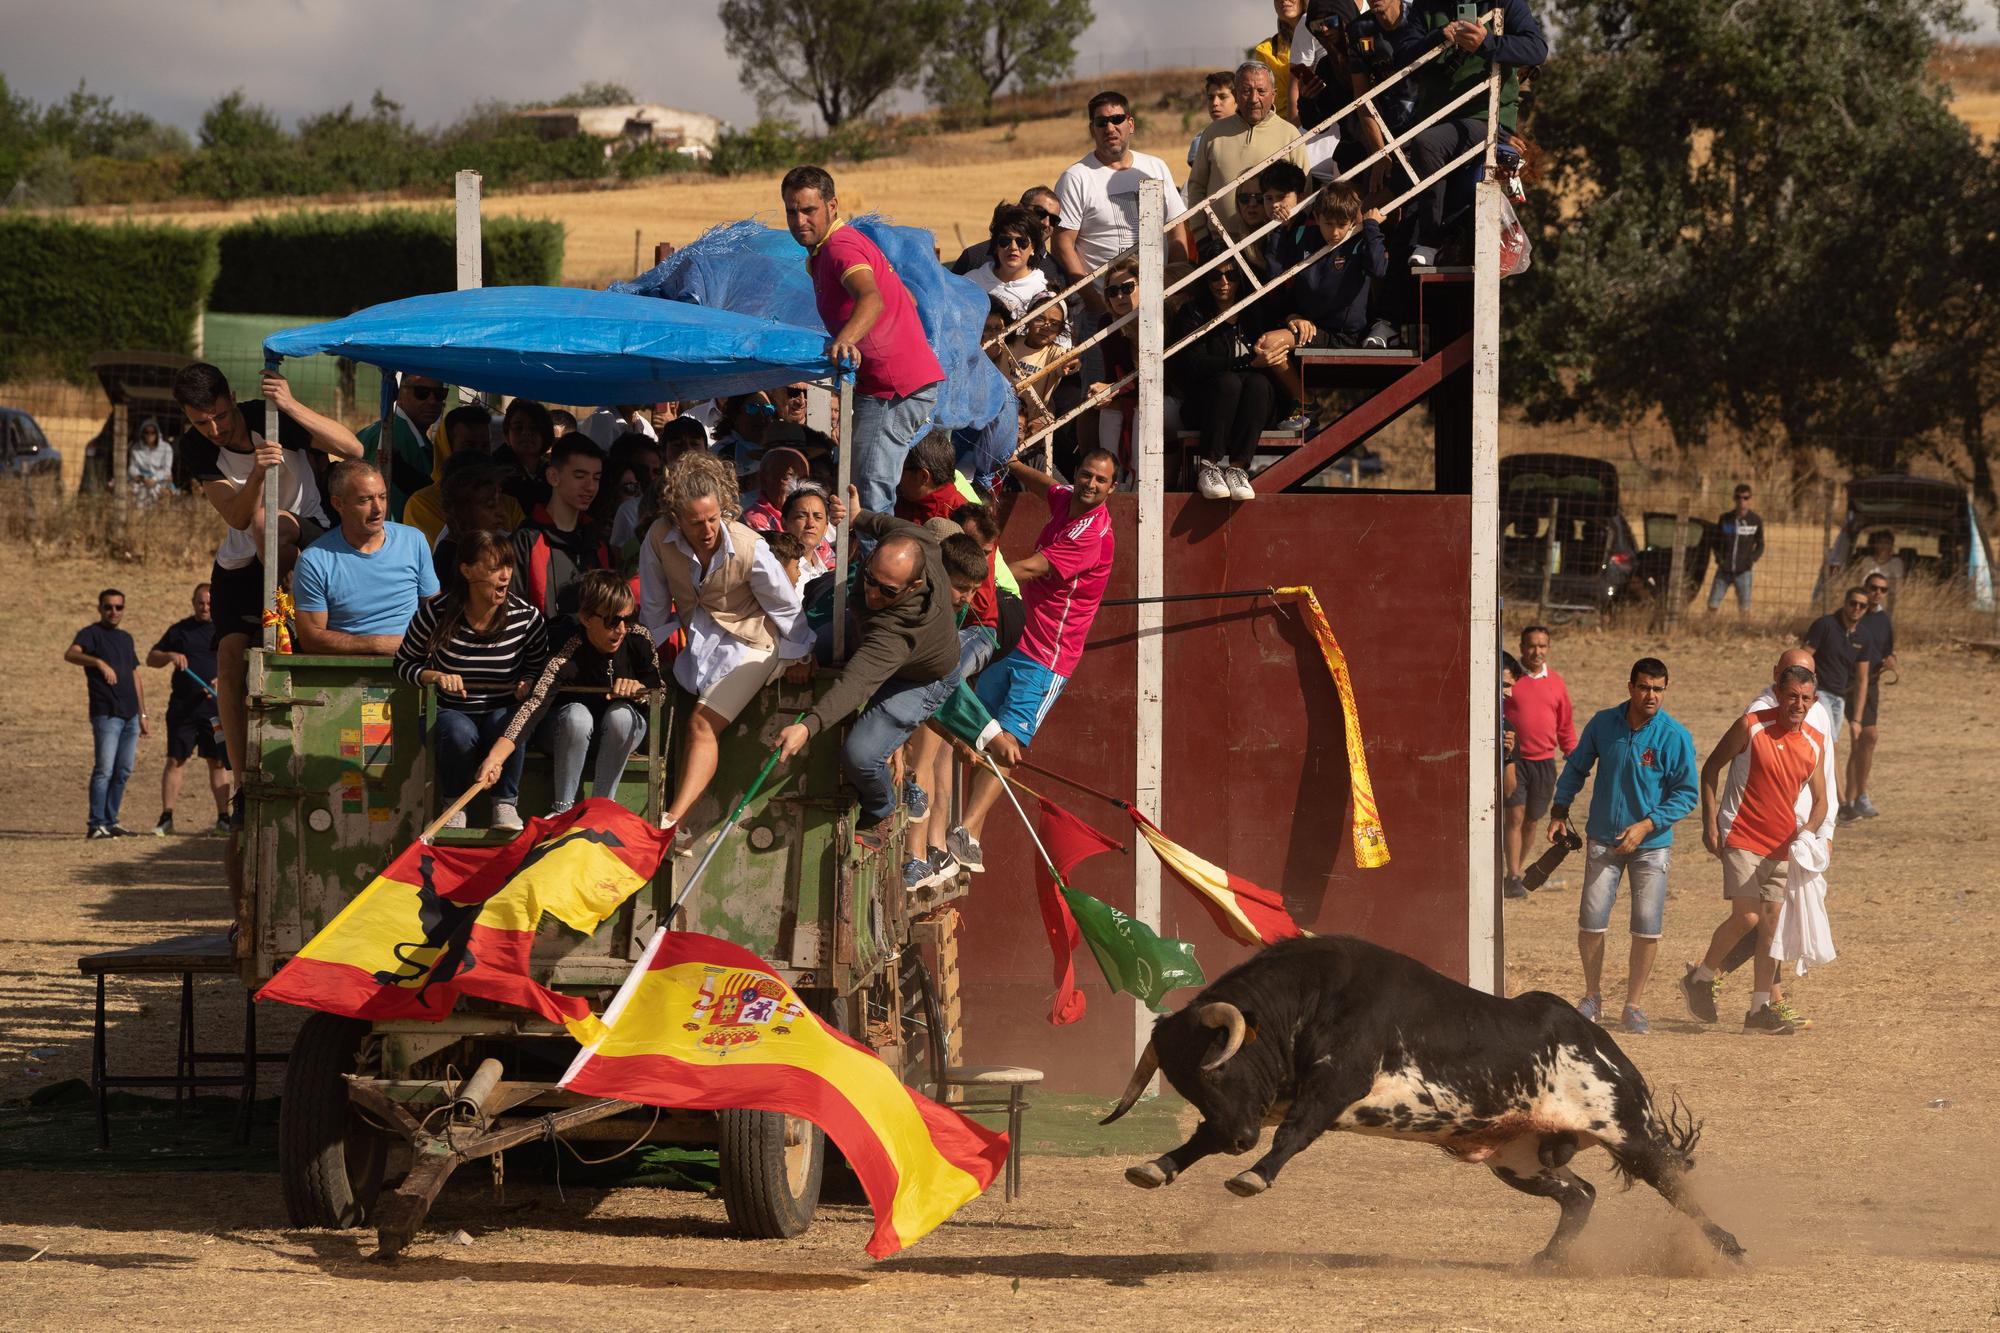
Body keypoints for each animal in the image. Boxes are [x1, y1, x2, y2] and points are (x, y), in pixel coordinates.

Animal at [1104, 928, 1744, 1264]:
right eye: (1187, 1084)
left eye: (1216, 1071)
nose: (1240, 1142)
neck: (1311, 997)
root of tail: (1599, 1041)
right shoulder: (1260, 1104)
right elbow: (1200, 1140)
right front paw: (1154, 1168)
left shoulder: (1334, 1087)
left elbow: (1295, 1132)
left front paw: (1251, 1177)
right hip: (1517, 1160)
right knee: (1580, 1194)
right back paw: (1546, 1260)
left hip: (1626, 1130)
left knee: (1673, 1183)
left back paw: (1729, 1244)